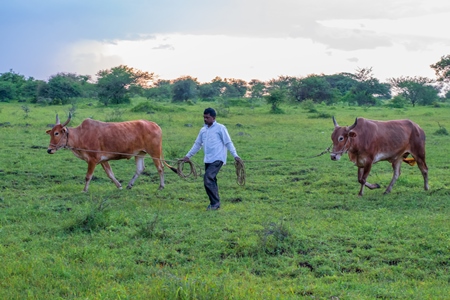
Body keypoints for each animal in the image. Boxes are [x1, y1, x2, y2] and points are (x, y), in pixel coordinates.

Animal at [46, 112, 178, 192]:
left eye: (57, 133)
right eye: (51, 133)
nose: (49, 149)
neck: (81, 134)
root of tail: (154, 124)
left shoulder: (93, 160)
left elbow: (88, 176)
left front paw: (84, 190)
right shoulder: (103, 160)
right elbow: (110, 174)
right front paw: (119, 186)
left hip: (154, 152)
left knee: (160, 168)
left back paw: (161, 186)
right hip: (140, 153)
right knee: (140, 169)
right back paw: (129, 185)